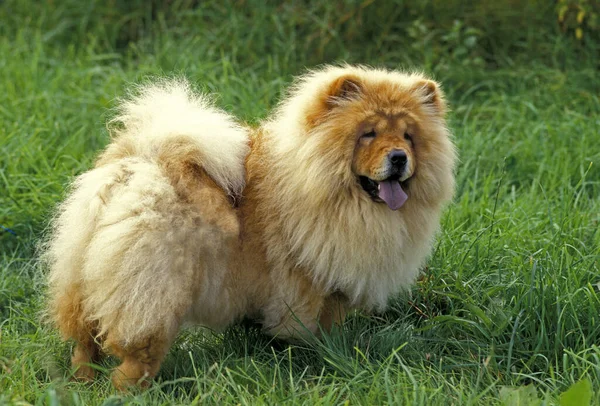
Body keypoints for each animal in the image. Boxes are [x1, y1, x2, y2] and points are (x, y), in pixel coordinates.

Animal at [44, 65, 458, 388]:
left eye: (408, 136)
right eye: (368, 133)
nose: (399, 157)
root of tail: (141, 162)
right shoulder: (309, 279)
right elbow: (312, 324)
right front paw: (316, 358)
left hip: (82, 275)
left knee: (84, 340)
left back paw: (83, 381)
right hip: (154, 290)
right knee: (136, 353)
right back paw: (131, 389)